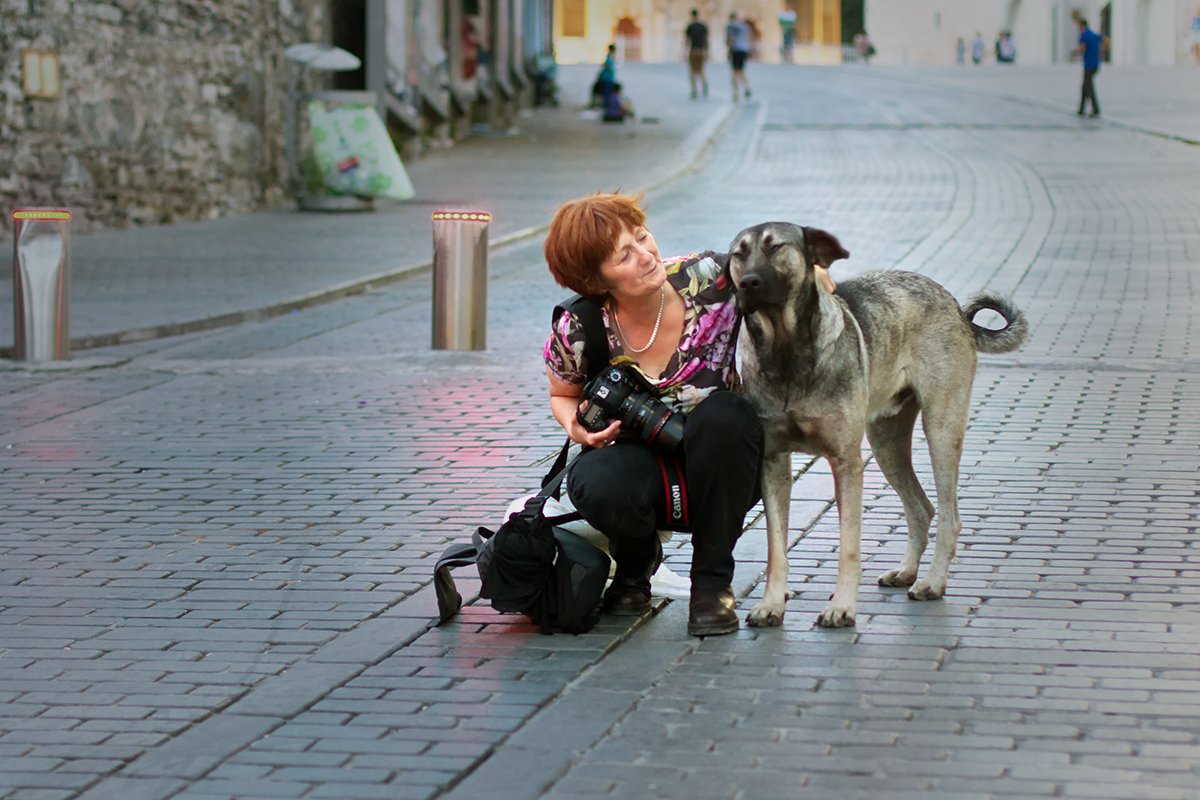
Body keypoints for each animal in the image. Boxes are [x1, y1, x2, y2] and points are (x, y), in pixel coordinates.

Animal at [724, 221, 1027, 628]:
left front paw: (842, 607)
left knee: (949, 515)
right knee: (921, 508)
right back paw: (906, 571)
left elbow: (849, 547)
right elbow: (776, 549)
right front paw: (771, 603)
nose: (748, 284)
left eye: (775, 248)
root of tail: (954, 306)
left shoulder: (846, 463)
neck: (786, 352)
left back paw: (932, 582)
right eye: (738, 254)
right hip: (886, 442)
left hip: (941, 429)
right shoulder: (773, 462)